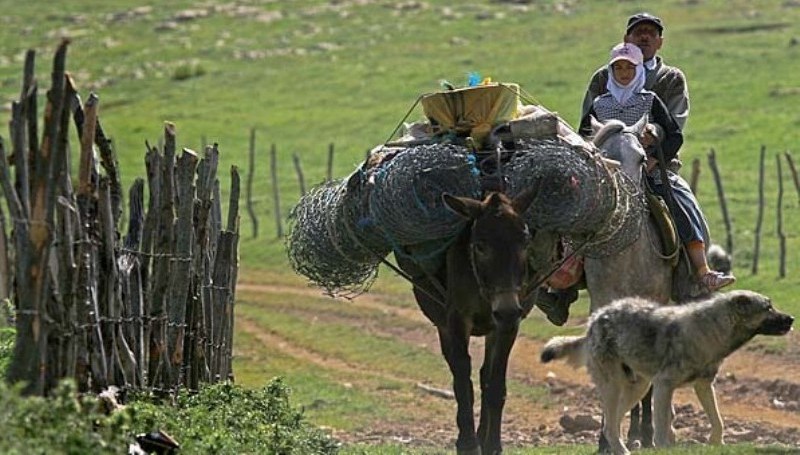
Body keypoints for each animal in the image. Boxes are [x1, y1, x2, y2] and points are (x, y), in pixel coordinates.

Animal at [540, 290, 792, 454]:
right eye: (768, 308)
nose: (791, 318)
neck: (712, 330)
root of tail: (595, 319)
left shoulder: (704, 386)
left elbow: (718, 420)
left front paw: (716, 443)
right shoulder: (664, 386)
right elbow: (661, 429)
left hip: (638, 389)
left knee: (611, 425)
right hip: (615, 387)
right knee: (610, 426)